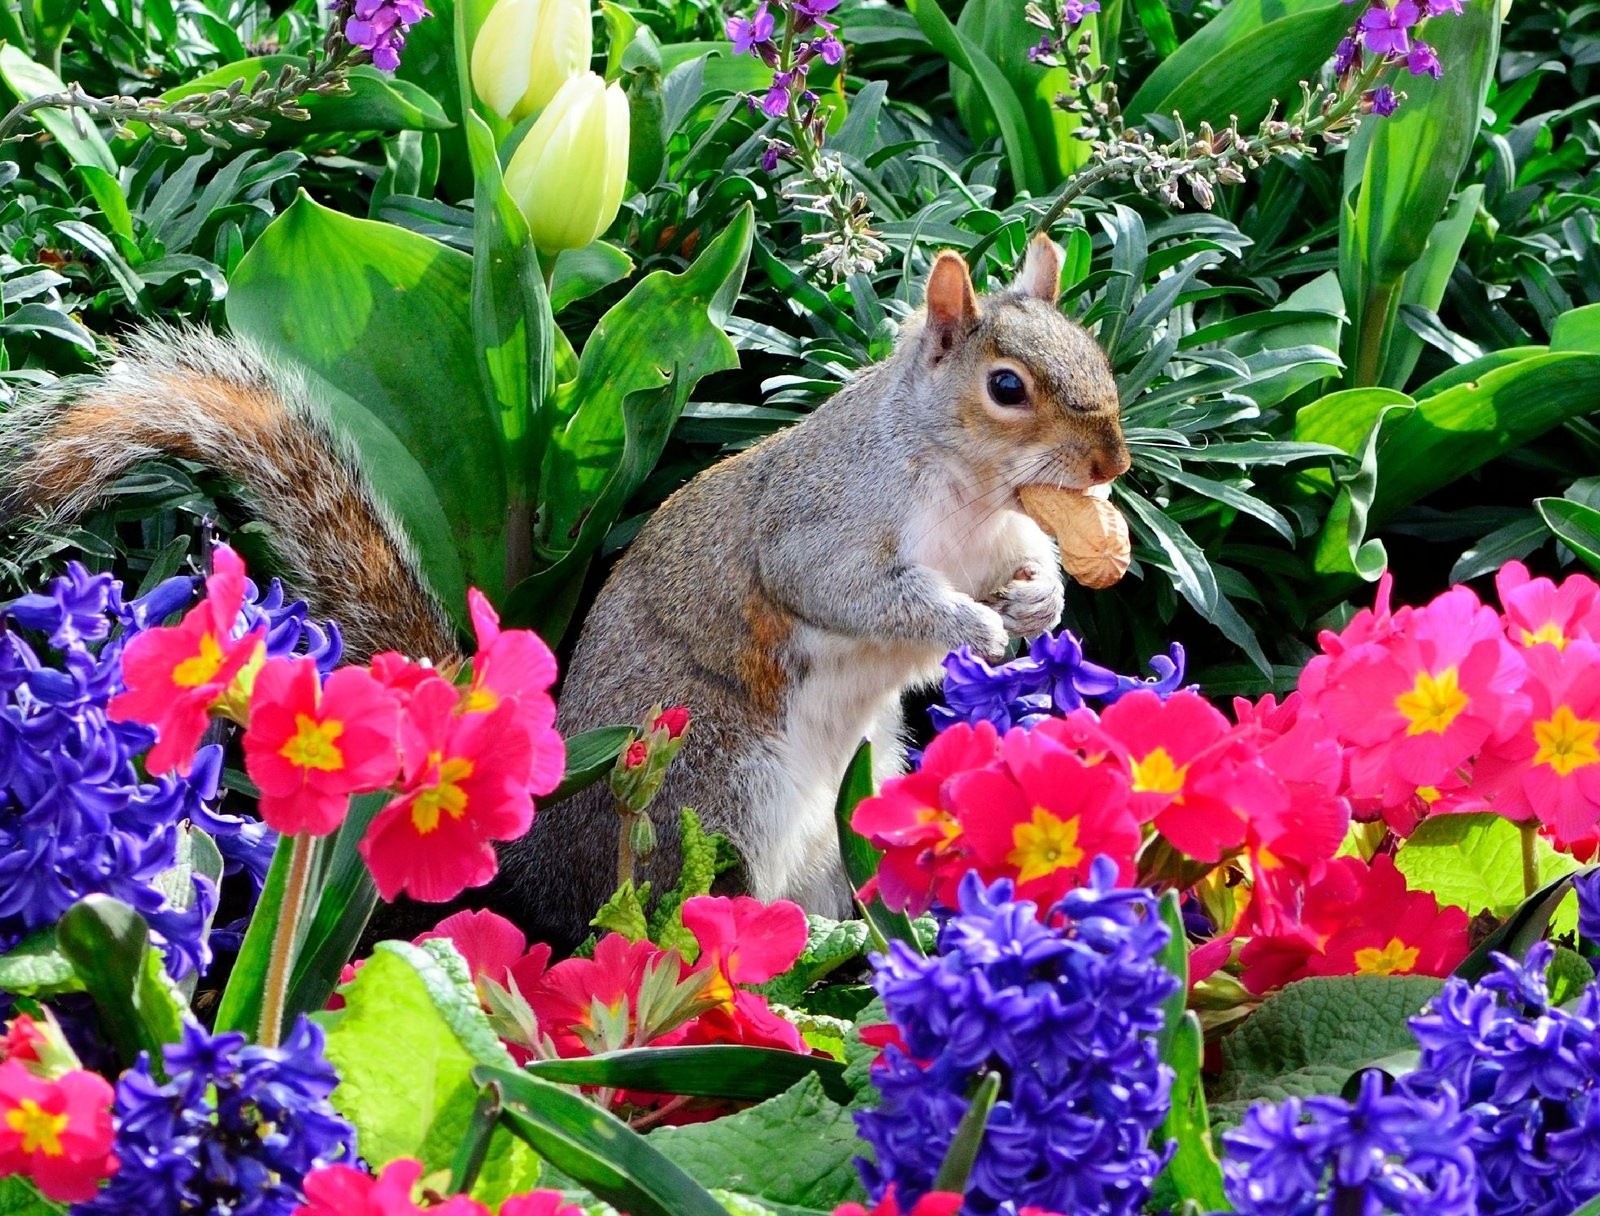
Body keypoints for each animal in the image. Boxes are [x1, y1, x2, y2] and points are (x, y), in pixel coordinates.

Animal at [0, 235, 1130, 950]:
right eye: (1007, 388)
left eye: (1098, 355)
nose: (1112, 463)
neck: (969, 492)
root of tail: (532, 859)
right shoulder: (823, 526)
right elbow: (856, 591)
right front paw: (966, 621)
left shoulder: (1001, 533)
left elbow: (1026, 566)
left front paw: (1037, 603)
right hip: (711, 794)